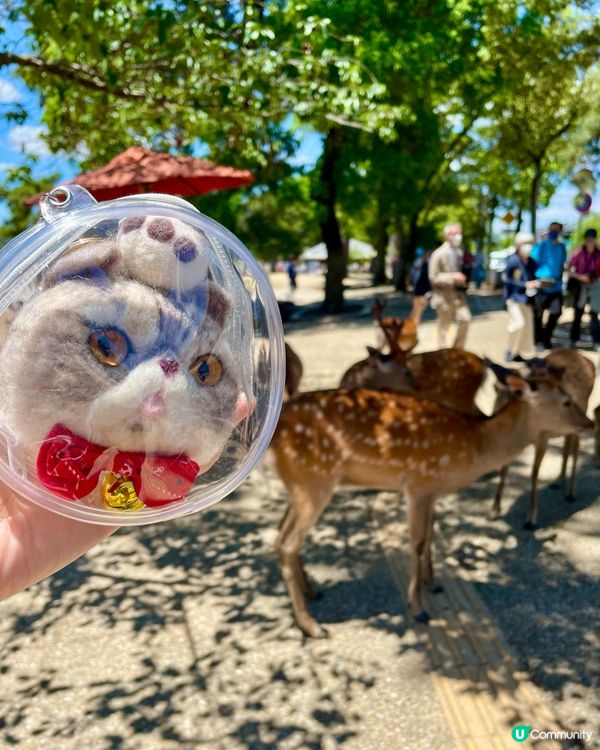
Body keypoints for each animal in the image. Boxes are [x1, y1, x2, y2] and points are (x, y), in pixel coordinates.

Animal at [272, 365, 592, 637]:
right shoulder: (419, 484)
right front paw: (418, 608)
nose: (589, 423)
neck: (473, 447)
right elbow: (415, 543)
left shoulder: (434, 491)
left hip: (299, 484)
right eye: (566, 401)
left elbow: (428, 537)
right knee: (288, 542)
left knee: (280, 535)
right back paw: (311, 626)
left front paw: (434, 584)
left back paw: (312, 591)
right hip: (314, 480)